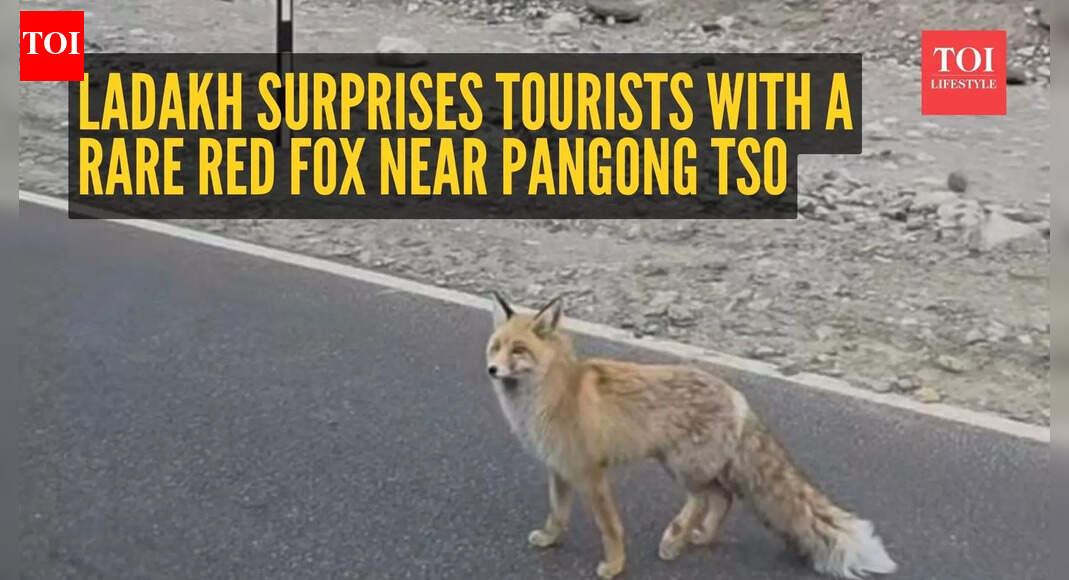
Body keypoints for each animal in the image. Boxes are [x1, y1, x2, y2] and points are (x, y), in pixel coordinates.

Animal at [484, 292, 897, 579]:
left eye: (518, 351)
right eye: (496, 346)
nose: (491, 370)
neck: (551, 396)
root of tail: (737, 396)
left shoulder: (591, 473)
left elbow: (609, 527)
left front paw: (615, 566)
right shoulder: (559, 470)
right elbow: (557, 515)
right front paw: (549, 540)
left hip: (680, 466)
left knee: (702, 499)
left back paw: (675, 538)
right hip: (688, 466)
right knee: (723, 498)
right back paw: (698, 537)